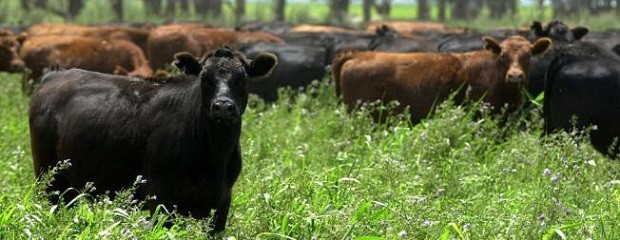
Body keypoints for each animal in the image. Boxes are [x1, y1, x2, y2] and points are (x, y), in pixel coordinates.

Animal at [30, 47, 278, 234]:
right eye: (205, 79)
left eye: (242, 79)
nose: (223, 106)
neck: (213, 157)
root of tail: (55, 75)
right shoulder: (160, 198)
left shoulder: (221, 204)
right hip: (50, 180)